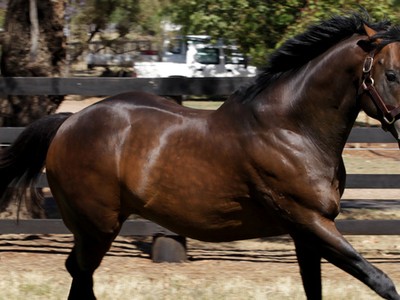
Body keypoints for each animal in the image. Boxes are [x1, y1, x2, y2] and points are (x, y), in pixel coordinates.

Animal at [0, 12, 400, 298]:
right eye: (393, 74)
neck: (293, 129)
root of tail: (69, 122)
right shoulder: (311, 221)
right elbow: (383, 281)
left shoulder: (307, 233)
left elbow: (315, 288)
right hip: (96, 226)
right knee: (81, 276)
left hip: (94, 228)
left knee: (78, 274)